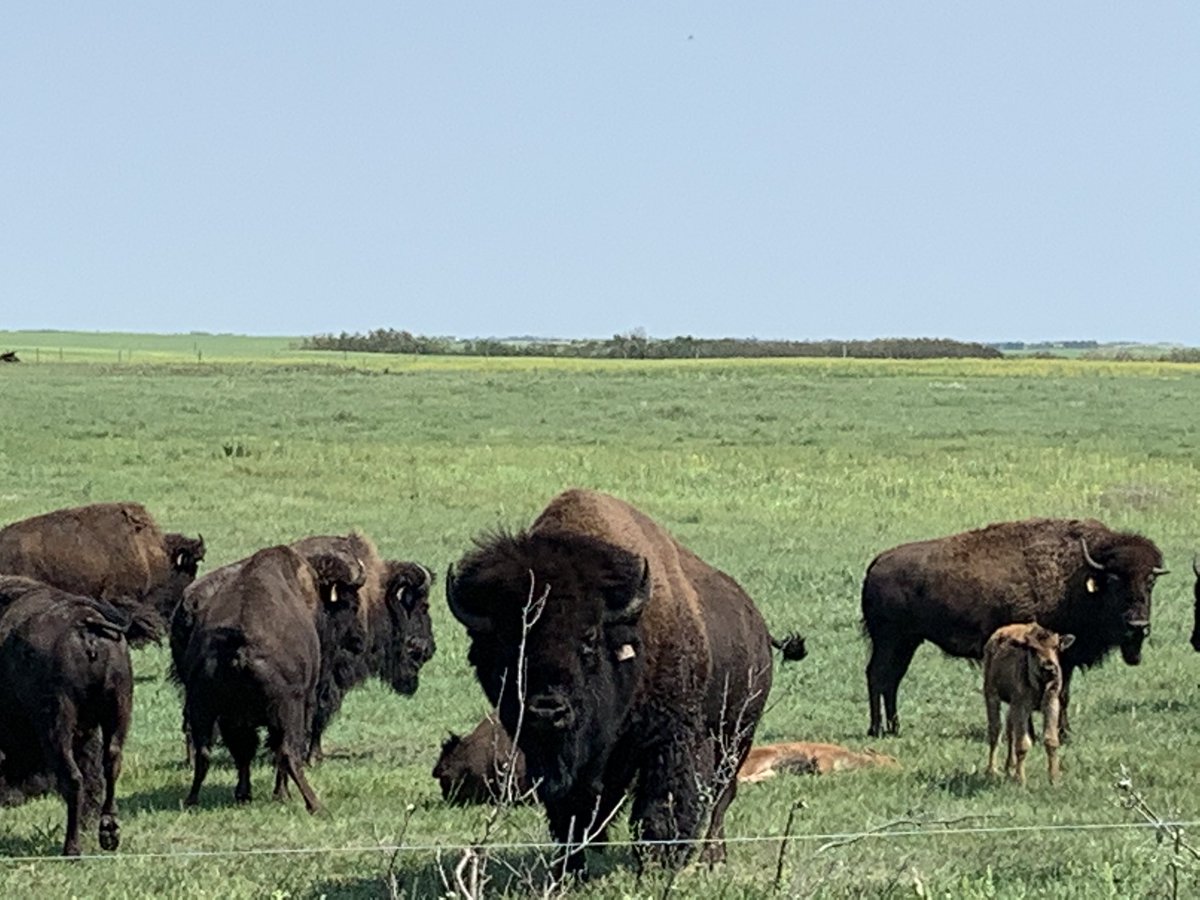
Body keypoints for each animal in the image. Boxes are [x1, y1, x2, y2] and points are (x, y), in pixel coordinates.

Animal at [0, 576, 133, 855]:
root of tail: (86, 625)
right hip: (118, 710)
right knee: (110, 763)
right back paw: (108, 831)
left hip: (57, 723)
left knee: (73, 778)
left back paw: (72, 848)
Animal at [178, 545, 364, 812]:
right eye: (350, 605)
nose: (360, 639)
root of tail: (239, 642)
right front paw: (281, 794)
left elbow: (244, 752)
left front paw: (243, 794)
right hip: (288, 709)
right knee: (286, 751)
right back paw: (313, 804)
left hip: (202, 706)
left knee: (206, 751)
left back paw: (192, 800)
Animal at [447, 488, 806, 871]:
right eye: (508, 644)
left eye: (588, 638)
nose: (546, 710)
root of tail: (759, 627)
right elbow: (574, 812)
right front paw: (572, 866)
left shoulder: (670, 739)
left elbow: (662, 803)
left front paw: (660, 862)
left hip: (736, 733)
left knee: (722, 793)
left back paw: (712, 856)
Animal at [861, 517, 1165, 737]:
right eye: (1114, 581)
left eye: (1150, 581)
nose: (1137, 624)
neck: (1076, 578)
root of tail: (877, 562)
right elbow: (1054, 693)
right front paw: (1053, 733)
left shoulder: (1064, 657)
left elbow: (1063, 694)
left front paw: (1064, 732)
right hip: (889, 640)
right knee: (878, 675)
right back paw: (876, 730)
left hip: (906, 642)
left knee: (892, 679)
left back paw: (895, 728)